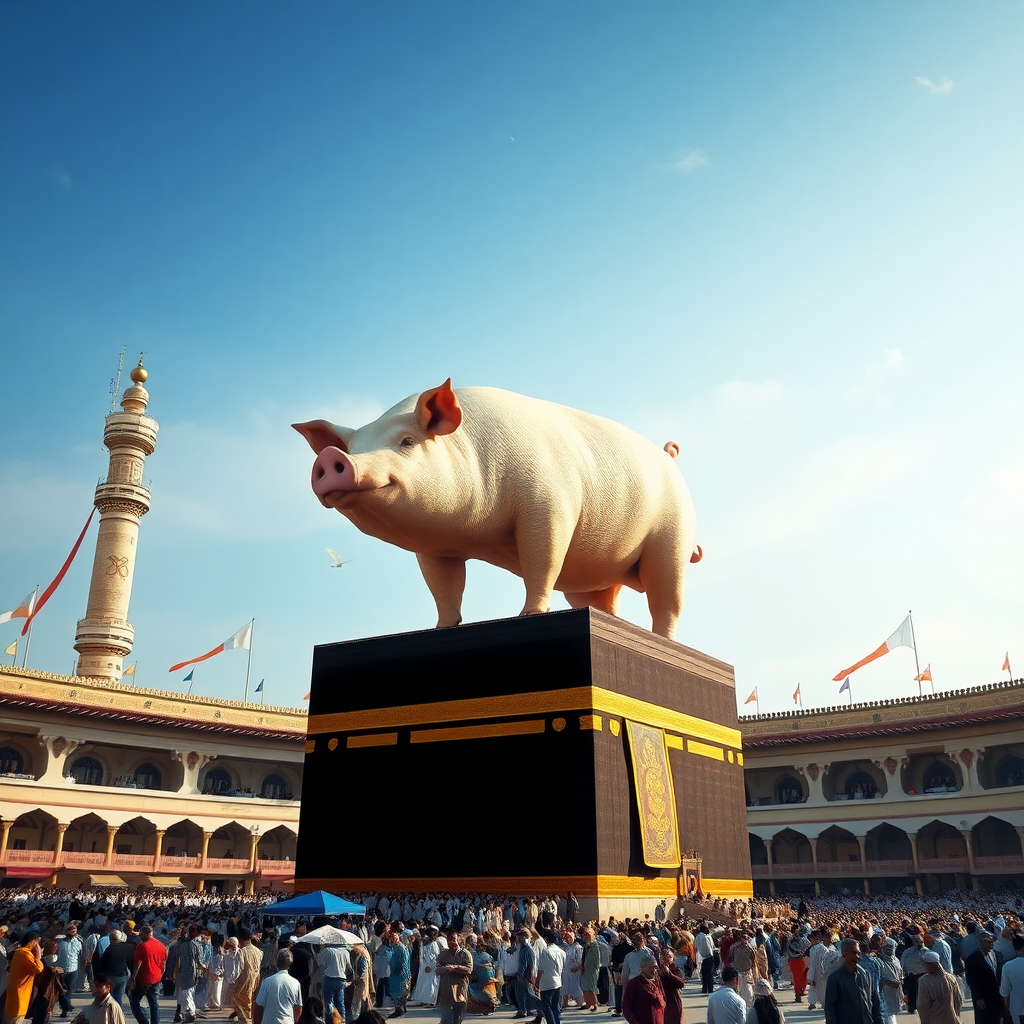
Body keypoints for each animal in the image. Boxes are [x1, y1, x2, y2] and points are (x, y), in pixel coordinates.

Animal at [292, 382, 700, 638]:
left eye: (407, 441)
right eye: (354, 446)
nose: (332, 457)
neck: (473, 533)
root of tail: (669, 457)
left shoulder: (550, 504)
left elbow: (541, 560)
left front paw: (529, 615)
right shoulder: (434, 547)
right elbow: (445, 587)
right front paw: (441, 628)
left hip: (673, 536)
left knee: (668, 599)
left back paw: (664, 640)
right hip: (594, 577)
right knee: (605, 602)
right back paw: (617, 626)